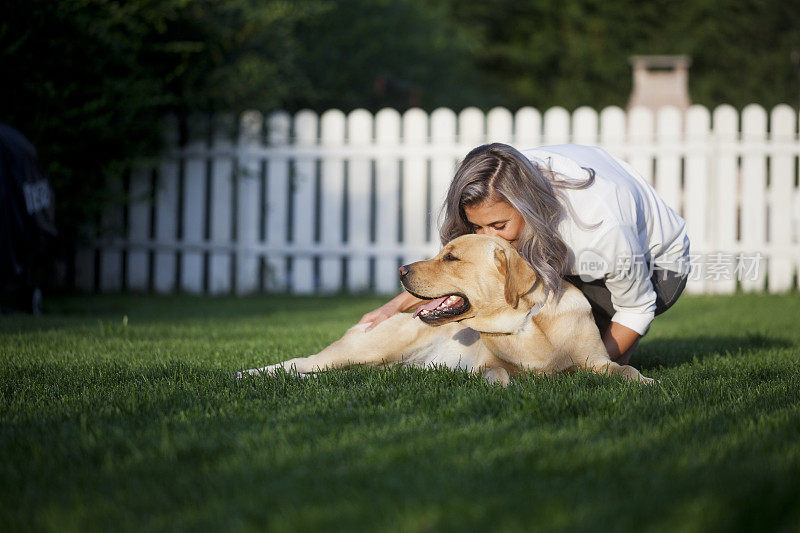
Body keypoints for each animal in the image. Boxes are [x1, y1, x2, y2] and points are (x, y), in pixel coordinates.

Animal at [238, 235, 648, 384]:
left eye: (451, 257)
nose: (400, 270)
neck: (526, 324)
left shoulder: (597, 361)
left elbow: (625, 370)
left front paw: (646, 383)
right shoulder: (488, 365)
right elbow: (500, 374)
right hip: (363, 349)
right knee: (300, 364)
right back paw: (247, 374)